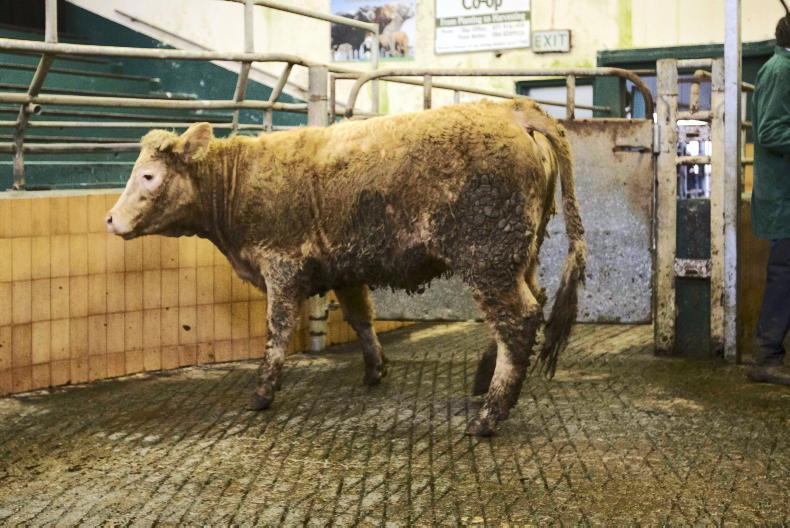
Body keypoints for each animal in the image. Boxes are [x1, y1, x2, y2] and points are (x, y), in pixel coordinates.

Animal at [106, 100, 586, 436]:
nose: (110, 220)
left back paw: (489, 414)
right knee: (527, 307)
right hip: (519, 254)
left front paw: (262, 393)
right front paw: (376, 369)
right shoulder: (344, 271)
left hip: (487, 255)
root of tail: (512, 110)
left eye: (148, 176)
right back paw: (484, 382)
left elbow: (277, 332)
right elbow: (360, 318)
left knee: (517, 318)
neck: (238, 181)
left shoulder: (280, 265)